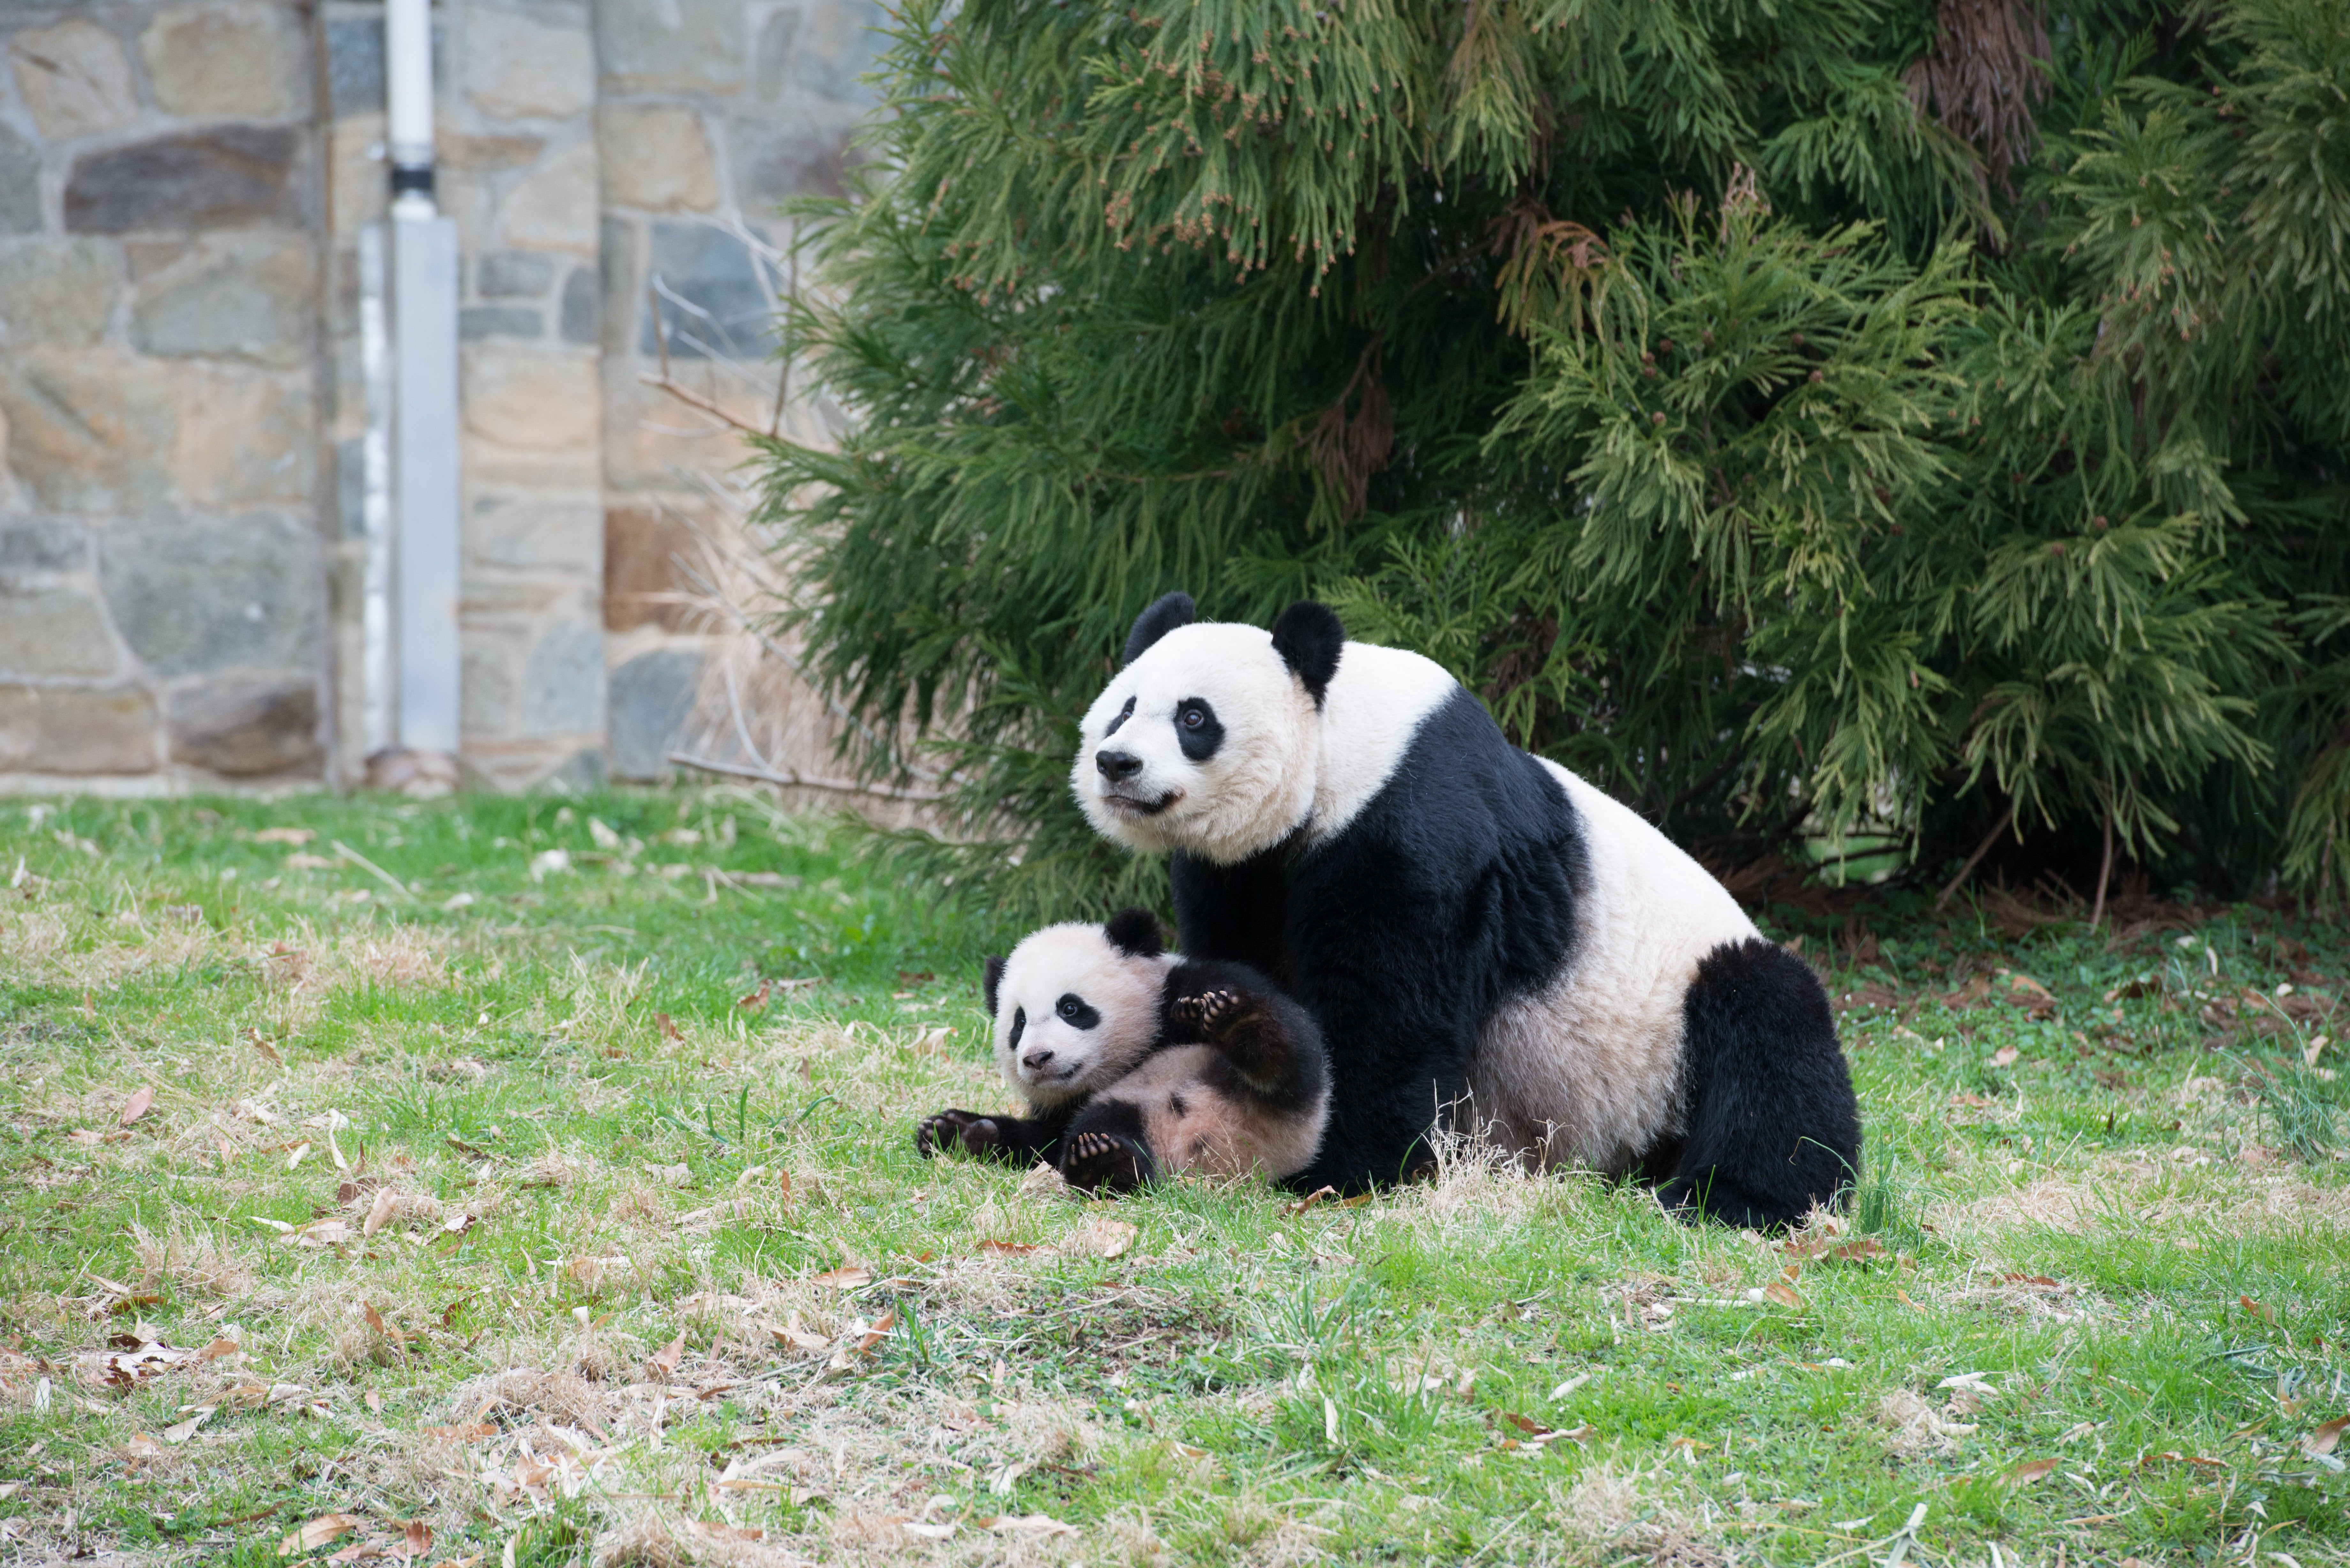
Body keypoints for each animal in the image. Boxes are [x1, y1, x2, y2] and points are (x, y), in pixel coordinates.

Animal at [1076, 592, 1861, 1222]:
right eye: (1123, 707)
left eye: (1194, 717)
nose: (1117, 763)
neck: (1341, 750)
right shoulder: (1244, 870)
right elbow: (1240, 956)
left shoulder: (1416, 825)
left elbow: (1391, 1012)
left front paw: (1339, 1167)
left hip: (1670, 1028)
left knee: (1769, 1037)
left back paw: (1729, 1198)